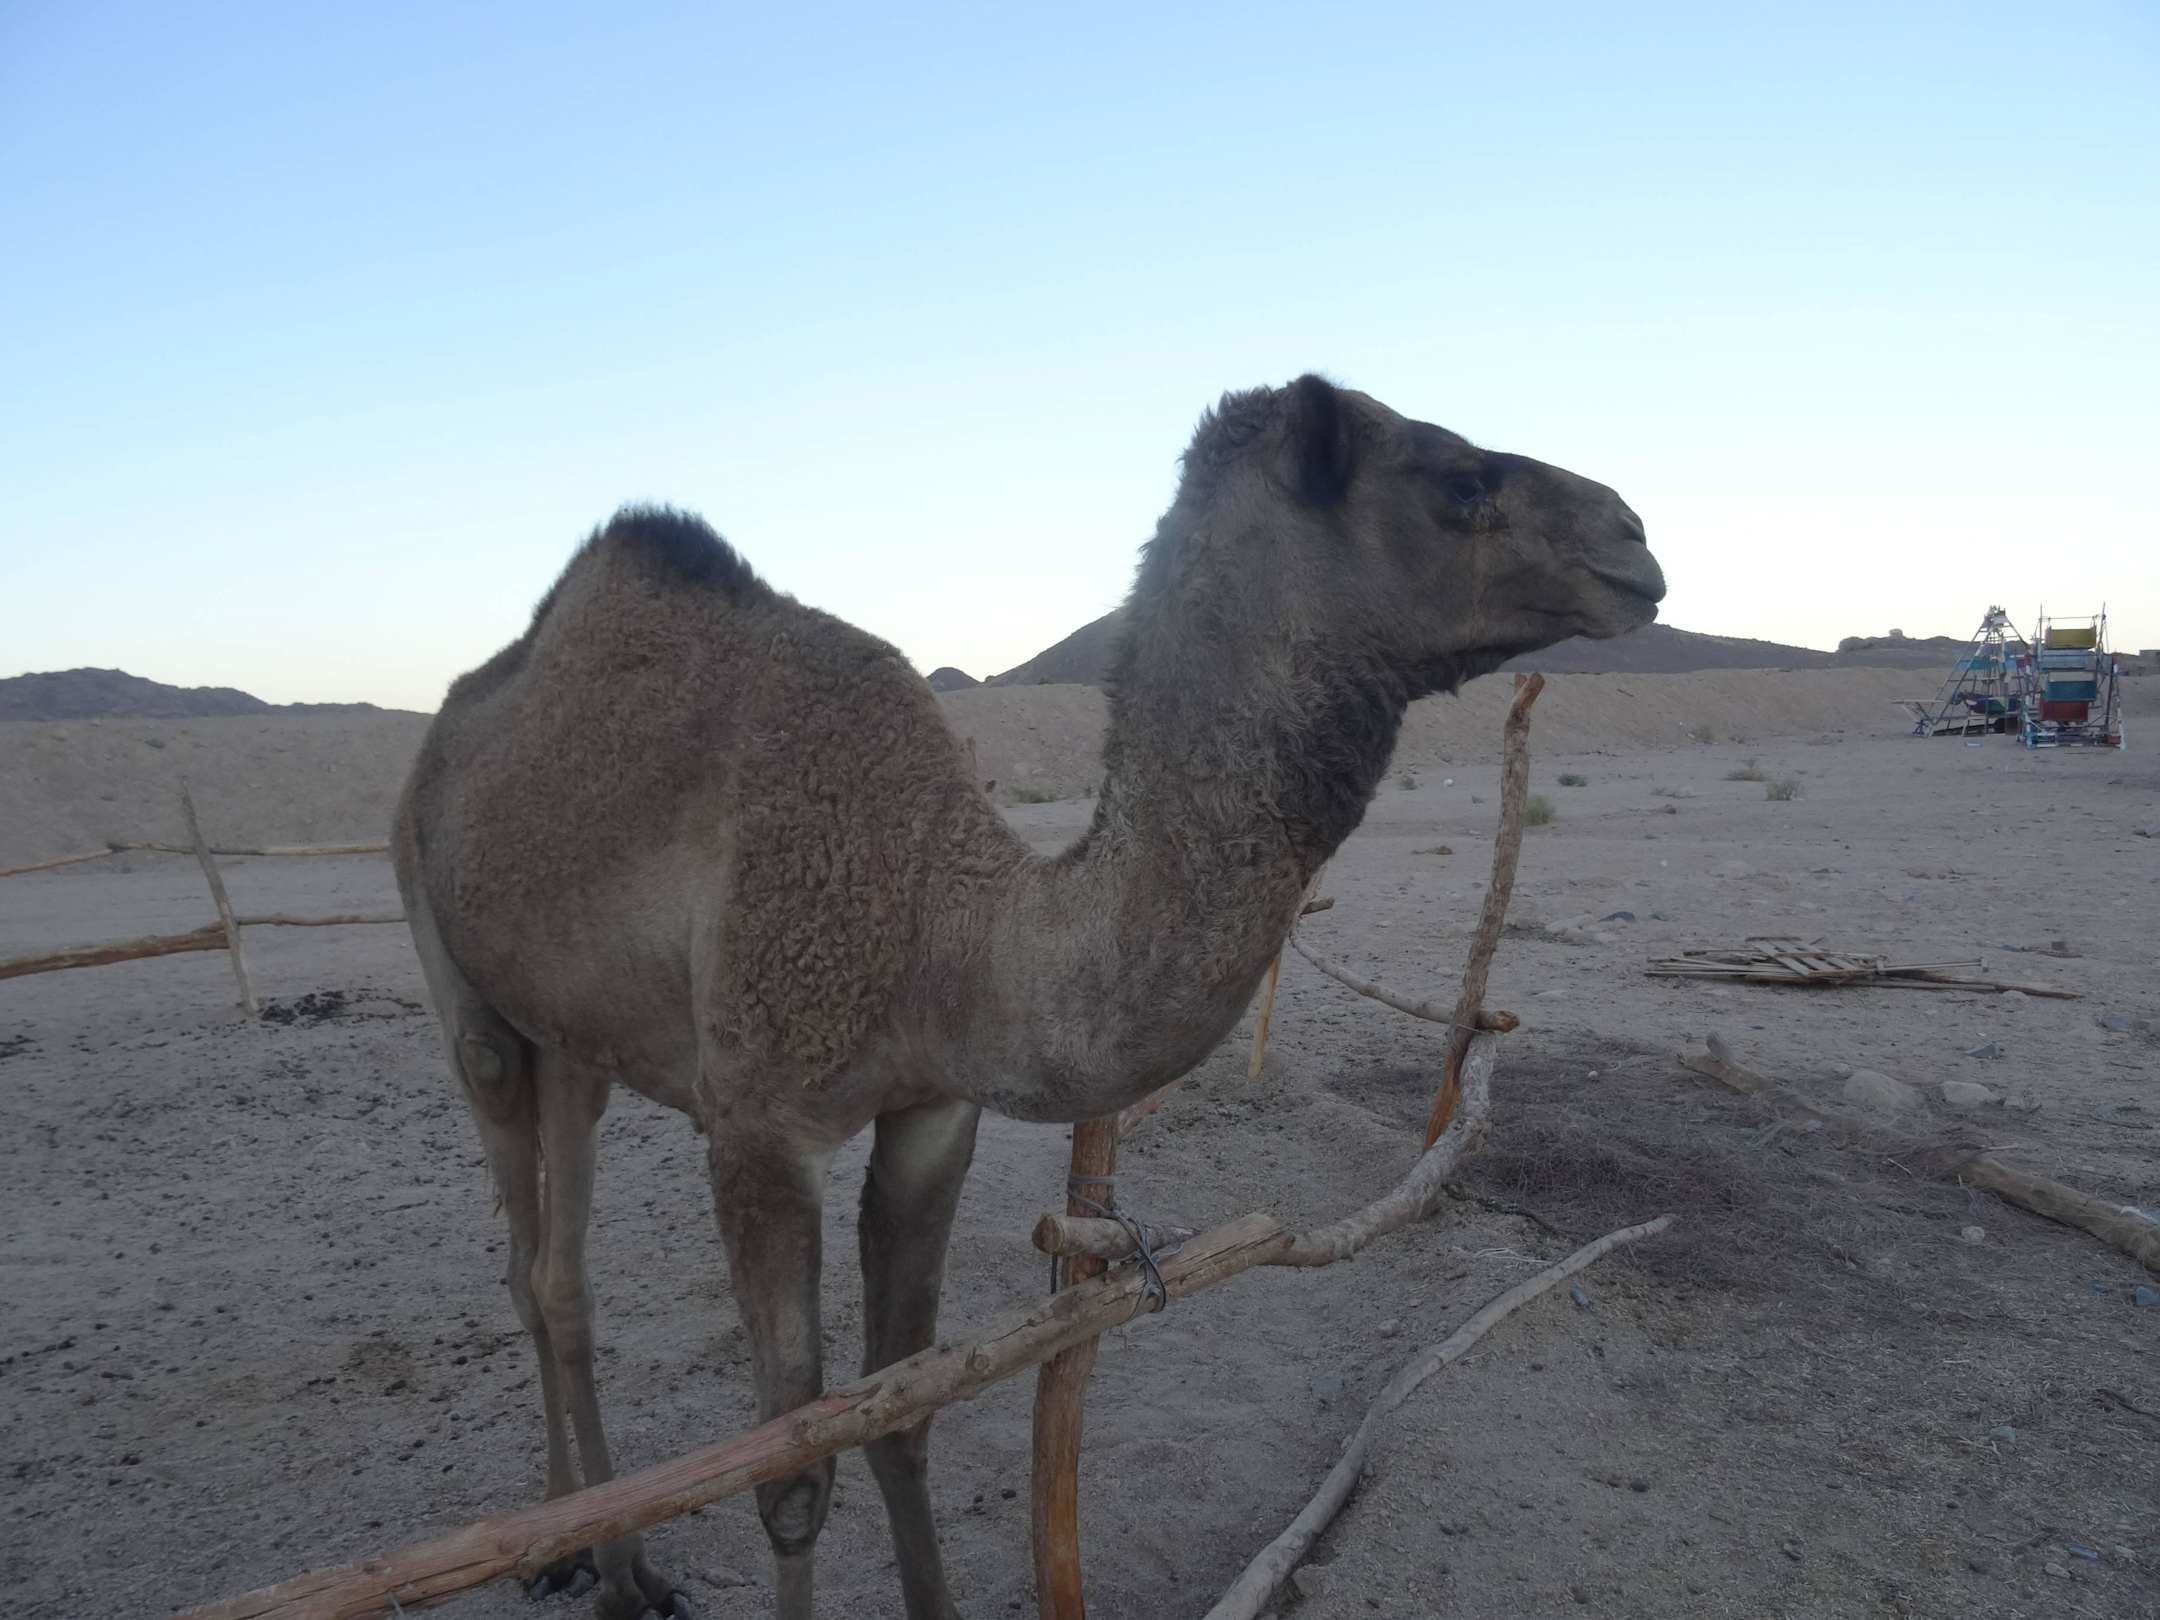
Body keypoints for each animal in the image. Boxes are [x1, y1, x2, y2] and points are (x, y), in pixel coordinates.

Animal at [391, 375, 1664, 1620]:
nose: (1635, 537)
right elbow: (791, 1470)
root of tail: (453, 724)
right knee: (530, 1255)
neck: (942, 924)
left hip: (574, 1032)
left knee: (562, 1274)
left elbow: (901, 1411)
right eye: (1460, 481)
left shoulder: (933, 1112)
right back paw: (569, 1564)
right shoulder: (758, 1130)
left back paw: (613, 1568)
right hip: (456, 976)